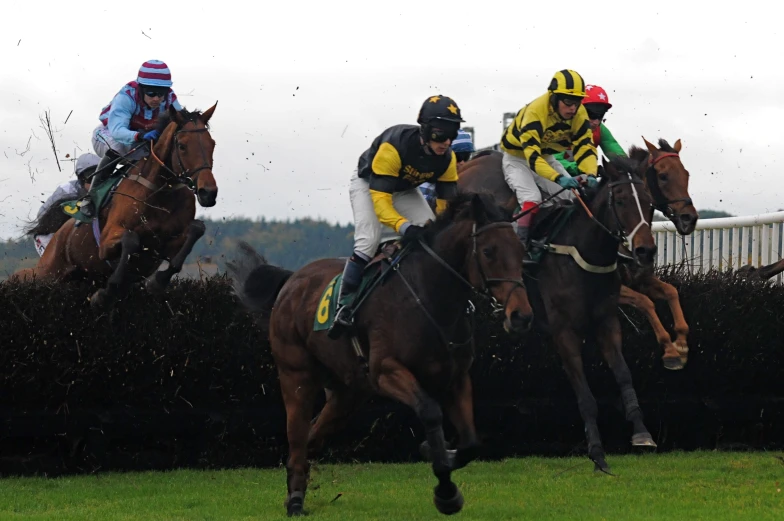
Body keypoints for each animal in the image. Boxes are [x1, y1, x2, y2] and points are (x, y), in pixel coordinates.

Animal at [11, 104, 220, 308]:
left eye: (212, 144)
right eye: (182, 146)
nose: (208, 192)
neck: (160, 193)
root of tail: (59, 233)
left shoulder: (167, 244)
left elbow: (197, 229)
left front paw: (157, 282)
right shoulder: (106, 242)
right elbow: (131, 238)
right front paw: (105, 292)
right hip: (48, 274)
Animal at [227, 192, 532, 516]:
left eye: (521, 249)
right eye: (488, 251)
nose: (521, 316)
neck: (430, 297)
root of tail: (292, 281)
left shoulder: (457, 377)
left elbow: (471, 443)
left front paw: (441, 454)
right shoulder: (387, 370)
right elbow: (430, 412)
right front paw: (446, 491)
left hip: (348, 392)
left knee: (311, 438)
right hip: (296, 375)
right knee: (297, 435)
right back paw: (296, 500)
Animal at [460, 136, 700, 368]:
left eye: (687, 174)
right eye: (663, 176)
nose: (689, 218)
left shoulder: (637, 278)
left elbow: (671, 292)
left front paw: (681, 343)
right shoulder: (614, 287)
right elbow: (645, 302)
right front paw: (669, 349)